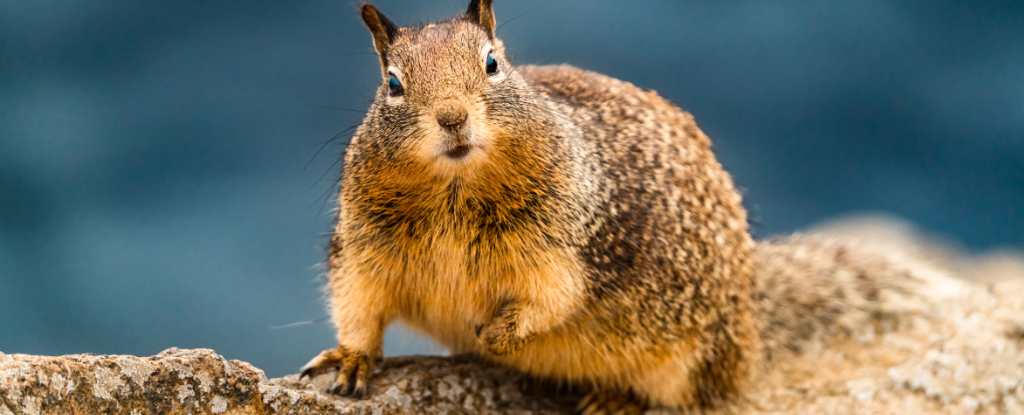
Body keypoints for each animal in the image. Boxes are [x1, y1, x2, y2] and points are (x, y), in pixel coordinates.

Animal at [294, 1, 942, 411]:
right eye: (393, 83)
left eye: (493, 63)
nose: (452, 118)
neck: (454, 192)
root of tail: (751, 320)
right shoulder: (361, 246)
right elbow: (357, 303)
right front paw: (350, 360)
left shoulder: (568, 244)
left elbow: (551, 299)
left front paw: (497, 335)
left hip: (691, 357)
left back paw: (616, 399)